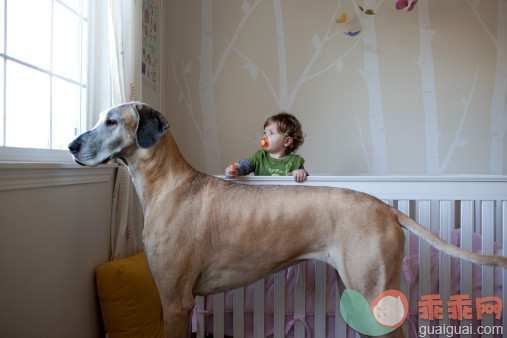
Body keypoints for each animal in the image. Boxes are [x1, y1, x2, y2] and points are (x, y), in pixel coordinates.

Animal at [68, 103, 507, 338]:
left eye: (111, 121)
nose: (71, 145)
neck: (169, 183)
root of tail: (386, 207)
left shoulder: (176, 302)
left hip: (372, 294)